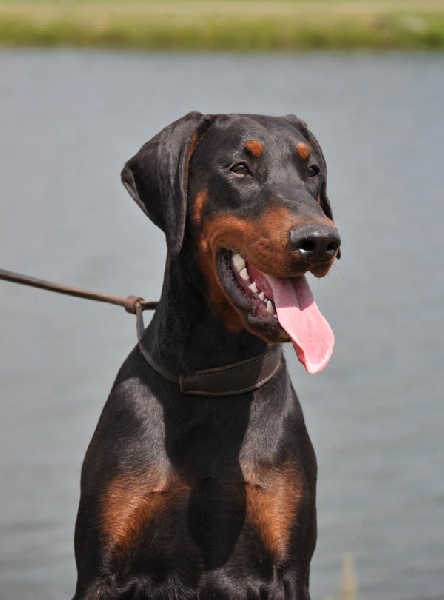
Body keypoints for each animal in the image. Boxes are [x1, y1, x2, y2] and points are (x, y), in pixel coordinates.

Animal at [72, 112, 341, 599]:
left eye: (312, 171)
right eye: (239, 168)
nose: (321, 241)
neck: (213, 378)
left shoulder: (289, 571)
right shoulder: (101, 573)